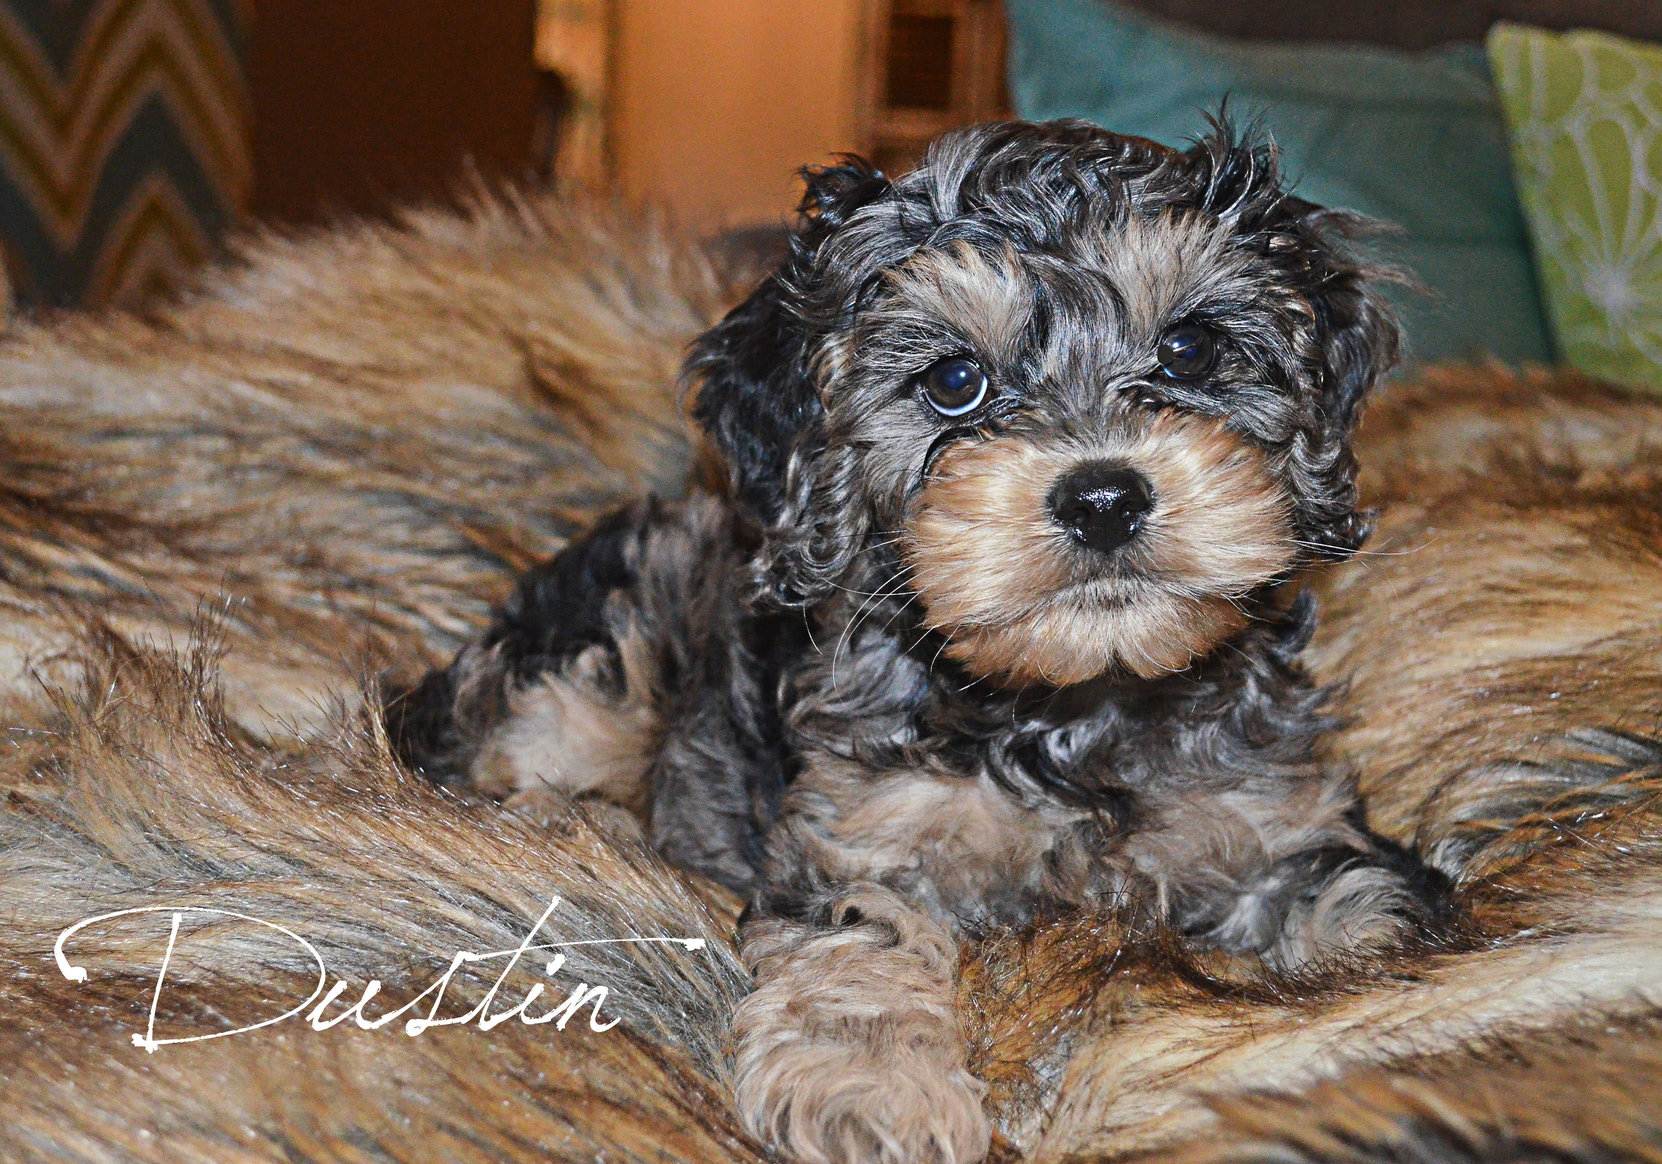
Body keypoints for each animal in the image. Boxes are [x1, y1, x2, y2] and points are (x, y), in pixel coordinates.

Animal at [388, 120, 1442, 1164]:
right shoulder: (860, 835)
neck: (1070, 705)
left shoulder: (1287, 820)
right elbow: (865, 941)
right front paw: (868, 1087)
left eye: (1189, 350)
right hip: (592, 672)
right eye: (953, 382)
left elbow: (1367, 909)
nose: (1103, 497)